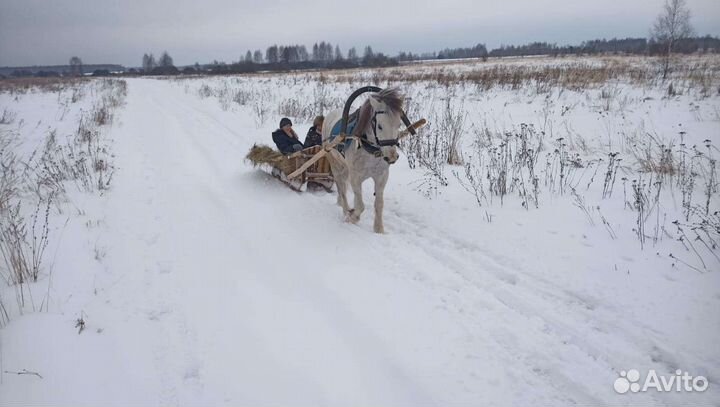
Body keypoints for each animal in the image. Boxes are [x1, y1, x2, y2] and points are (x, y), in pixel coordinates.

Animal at [322, 88, 405, 233]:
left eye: (398, 124)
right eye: (380, 126)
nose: (392, 157)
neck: (370, 150)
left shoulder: (382, 176)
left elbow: (379, 204)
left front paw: (379, 229)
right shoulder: (356, 177)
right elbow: (360, 205)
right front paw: (352, 217)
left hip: (344, 166)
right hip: (334, 162)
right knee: (341, 186)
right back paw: (345, 209)